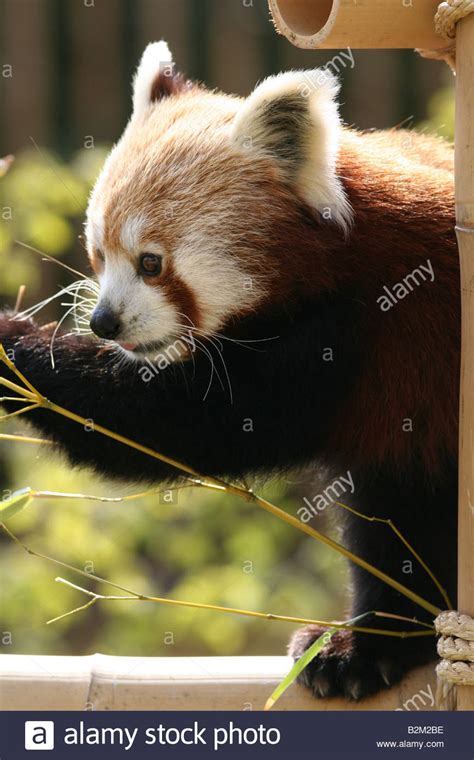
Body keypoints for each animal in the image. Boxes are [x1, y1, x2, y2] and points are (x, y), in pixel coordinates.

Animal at [0, 41, 460, 700]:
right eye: (98, 254)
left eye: (151, 263)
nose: (105, 323)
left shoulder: (371, 332)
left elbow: (190, 424)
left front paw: (16, 347)